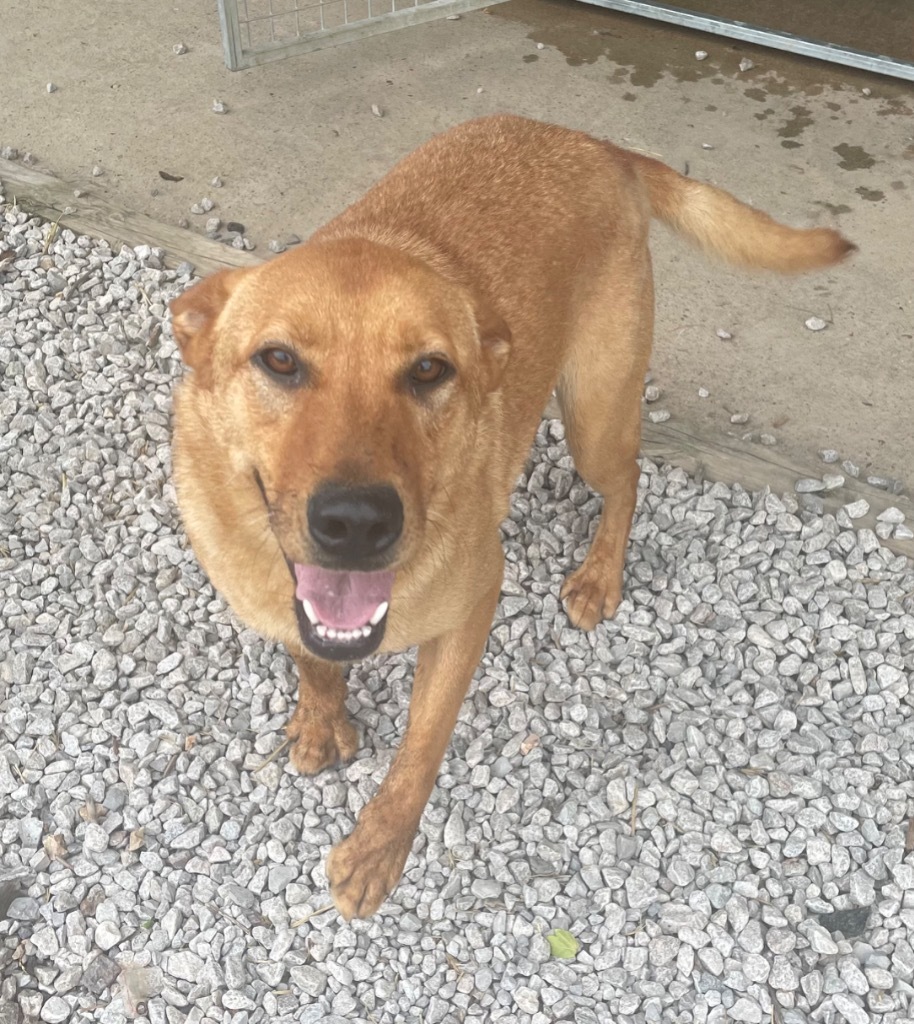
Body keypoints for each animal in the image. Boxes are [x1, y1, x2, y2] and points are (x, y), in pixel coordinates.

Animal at [167, 114, 851, 921]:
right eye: (278, 360)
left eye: (429, 370)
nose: (357, 523)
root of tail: (596, 144)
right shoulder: (277, 598)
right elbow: (312, 659)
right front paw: (322, 716)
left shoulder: (470, 610)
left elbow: (419, 753)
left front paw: (379, 851)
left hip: (594, 415)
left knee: (628, 479)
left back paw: (601, 573)